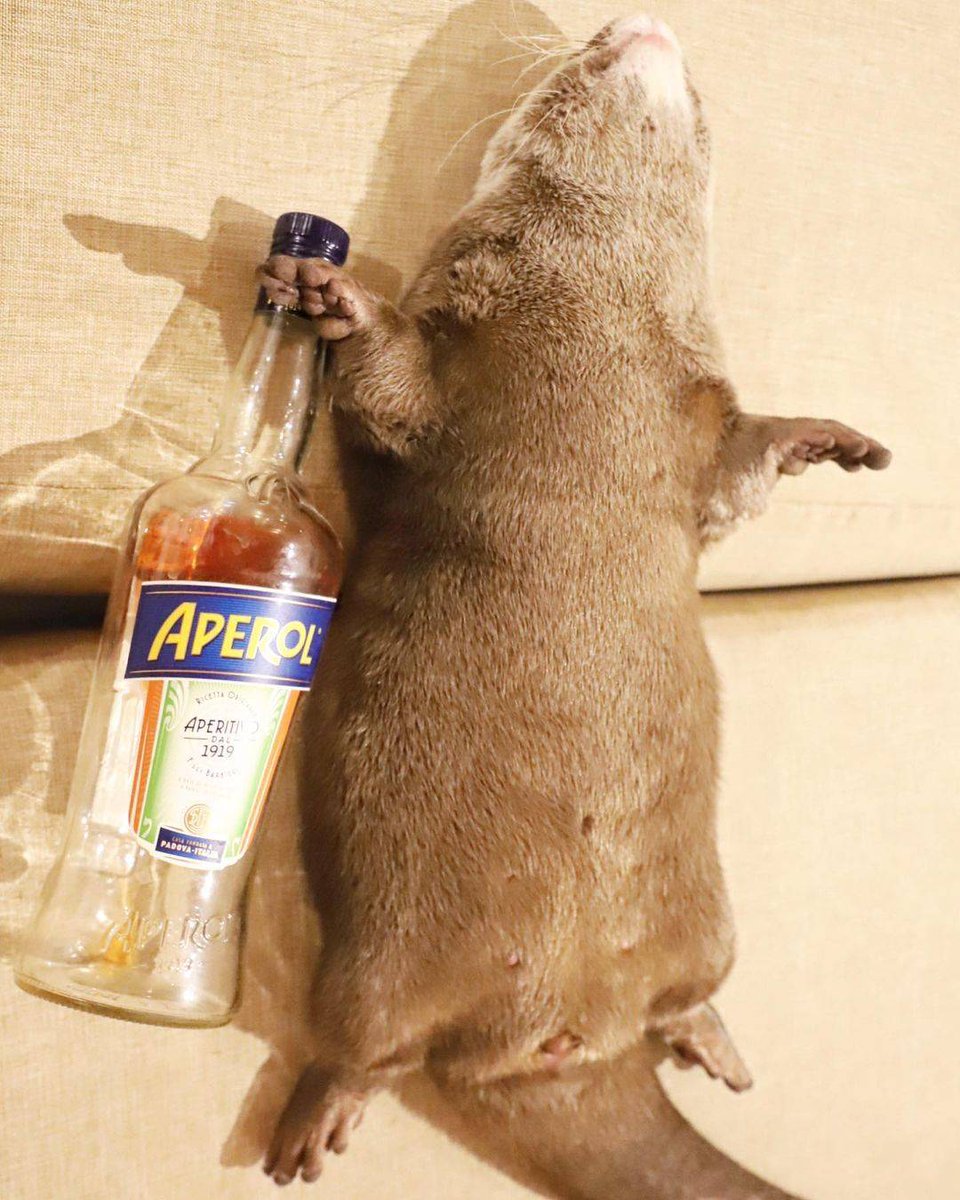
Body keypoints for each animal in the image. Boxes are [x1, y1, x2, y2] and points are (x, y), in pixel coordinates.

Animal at [257, 13, 890, 1197]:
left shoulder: (697, 419)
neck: (601, 325)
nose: (644, 25)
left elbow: (741, 467)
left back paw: (711, 1045)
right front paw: (334, 292)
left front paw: (830, 442)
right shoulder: (452, 372)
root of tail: (561, 1028)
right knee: (370, 1048)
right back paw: (316, 1120)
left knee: (675, 993)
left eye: (695, 99)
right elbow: (385, 381)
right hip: (382, 960)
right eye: (591, 53)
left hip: (705, 922)